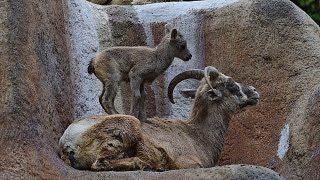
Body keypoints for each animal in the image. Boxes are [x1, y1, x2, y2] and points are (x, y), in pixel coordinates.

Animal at [60, 65, 260, 170]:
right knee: (100, 164)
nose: (254, 92)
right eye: (232, 85)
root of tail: (67, 142)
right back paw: (146, 164)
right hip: (128, 126)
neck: (198, 136)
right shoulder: (189, 163)